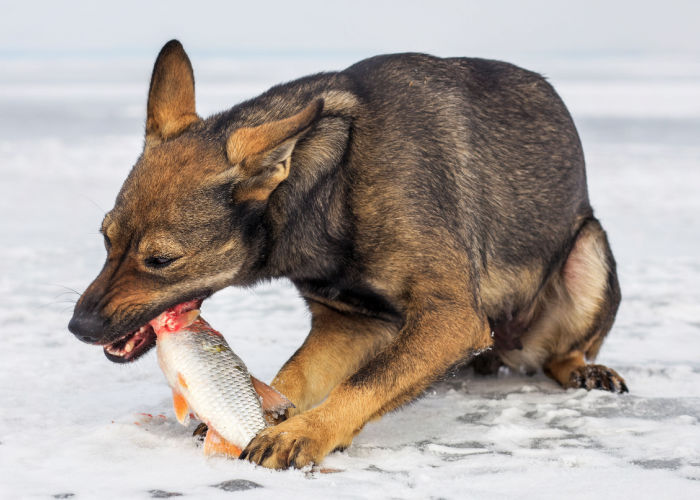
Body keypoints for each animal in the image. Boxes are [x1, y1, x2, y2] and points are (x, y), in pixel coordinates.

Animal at [69, 39, 628, 468]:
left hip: (590, 252)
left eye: (161, 260)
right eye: (105, 239)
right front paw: (274, 414)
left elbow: (366, 383)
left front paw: (304, 432)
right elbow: (297, 375)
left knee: (560, 353)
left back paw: (586, 370)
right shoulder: (349, 323)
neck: (332, 184)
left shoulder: (451, 318)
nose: (78, 326)